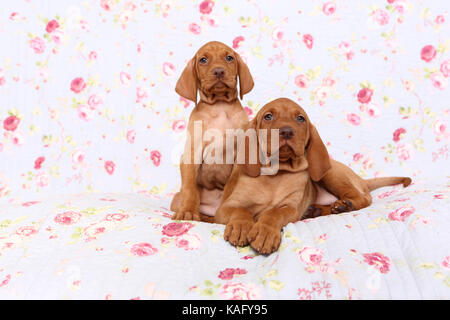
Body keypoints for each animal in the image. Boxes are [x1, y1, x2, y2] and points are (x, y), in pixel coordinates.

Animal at [170, 41, 253, 222]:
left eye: (229, 58)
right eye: (203, 60)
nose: (219, 71)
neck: (220, 106)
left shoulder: (239, 158)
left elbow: (229, 189)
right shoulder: (191, 154)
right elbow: (190, 188)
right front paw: (188, 212)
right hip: (176, 198)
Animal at [214, 98, 412, 255]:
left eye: (300, 118)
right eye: (268, 117)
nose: (286, 131)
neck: (276, 173)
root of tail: (361, 179)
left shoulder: (291, 208)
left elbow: (273, 213)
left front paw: (265, 232)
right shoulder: (225, 208)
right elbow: (242, 210)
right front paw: (241, 226)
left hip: (328, 173)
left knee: (365, 198)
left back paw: (345, 205)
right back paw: (317, 210)